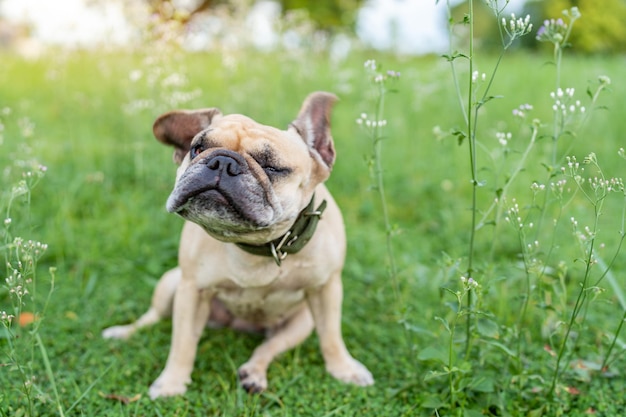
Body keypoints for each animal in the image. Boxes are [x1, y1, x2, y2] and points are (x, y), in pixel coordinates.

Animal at [103, 91, 372, 396]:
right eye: (197, 148)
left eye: (272, 167)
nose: (222, 162)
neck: (257, 244)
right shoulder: (192, 290)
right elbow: (182, 343)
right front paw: (172, 383)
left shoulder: (326, 290)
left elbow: (331, 337)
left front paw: (345, 369)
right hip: (171, 282)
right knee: (152, 317)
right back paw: (123, 332)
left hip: (301, 323)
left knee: (269, 347)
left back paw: (254, 373)